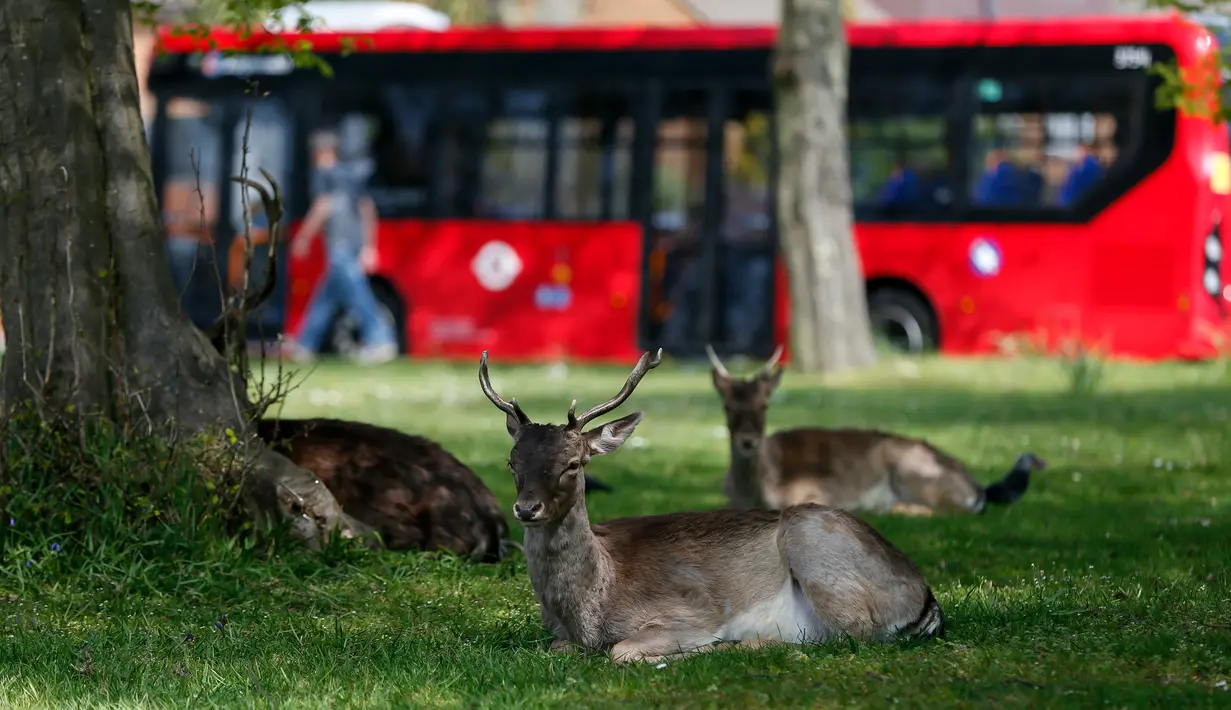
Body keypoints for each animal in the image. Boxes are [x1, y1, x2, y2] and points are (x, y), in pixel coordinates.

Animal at [475, 347, 945, 659]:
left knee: (847, 635)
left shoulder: (690, 610)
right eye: (512, 462)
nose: (526, 509)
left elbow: (621, 650)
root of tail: (925, 598)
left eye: (573, 463)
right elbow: (557, 647)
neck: (589, 613)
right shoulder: (560, 636)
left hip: (815, 545)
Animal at [709, 344, 1043, 514]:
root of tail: (977, 486)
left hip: (917, 474)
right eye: (726, 405)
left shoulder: (817, 492)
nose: (748, 441)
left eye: (764, 404)